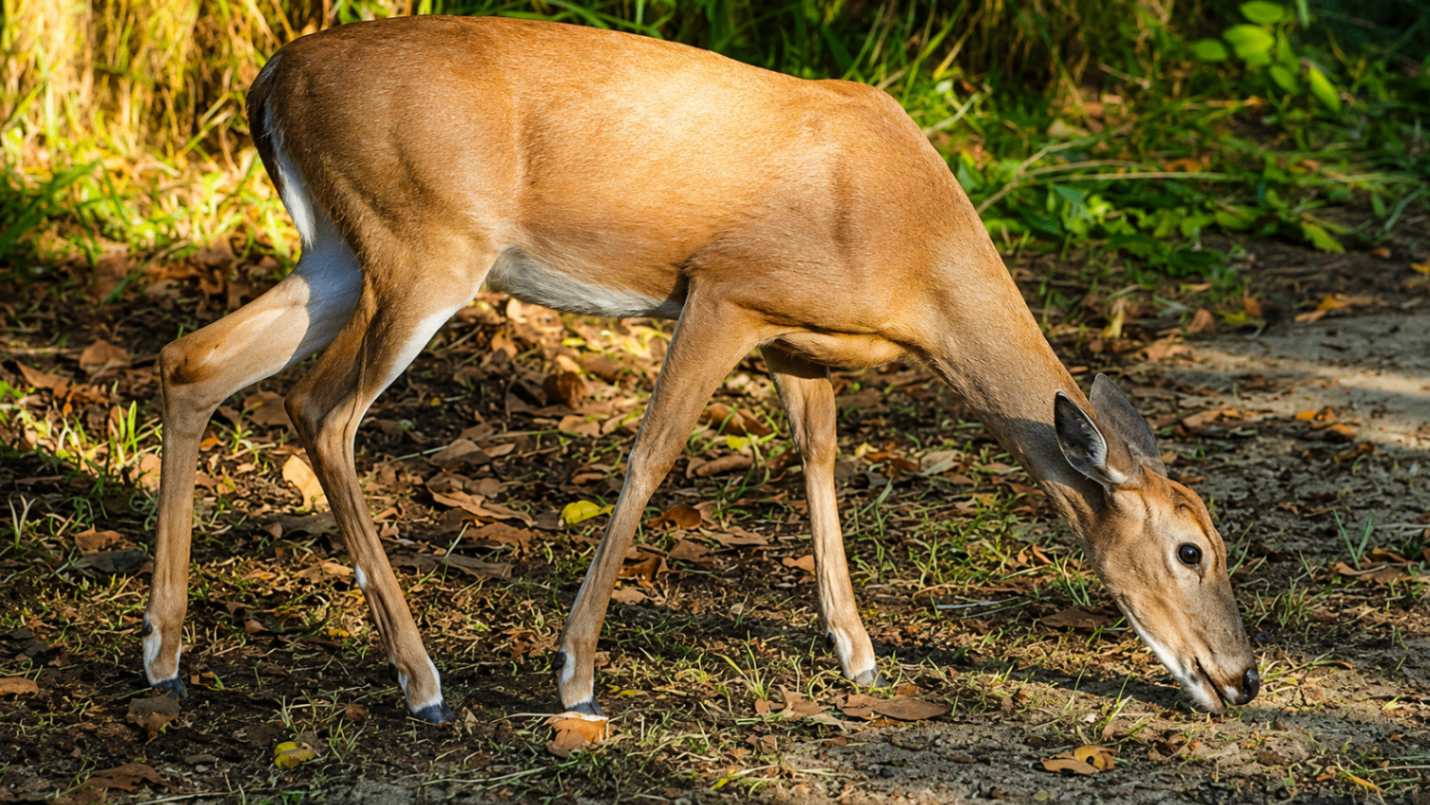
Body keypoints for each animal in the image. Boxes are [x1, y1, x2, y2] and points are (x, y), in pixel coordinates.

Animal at [140, 14, 1260, 724]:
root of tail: (270, 79)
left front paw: (859, 655)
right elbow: (648, 457)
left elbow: (818, 463)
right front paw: (575, 673)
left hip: (339, 247)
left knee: (195, 360)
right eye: (1190, 550)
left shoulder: (795, 333)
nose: (1243, 678)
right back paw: (420, 682)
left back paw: (165, 653)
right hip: (423, 242)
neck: (916, 264)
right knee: (319, 406)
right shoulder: (725, 288)